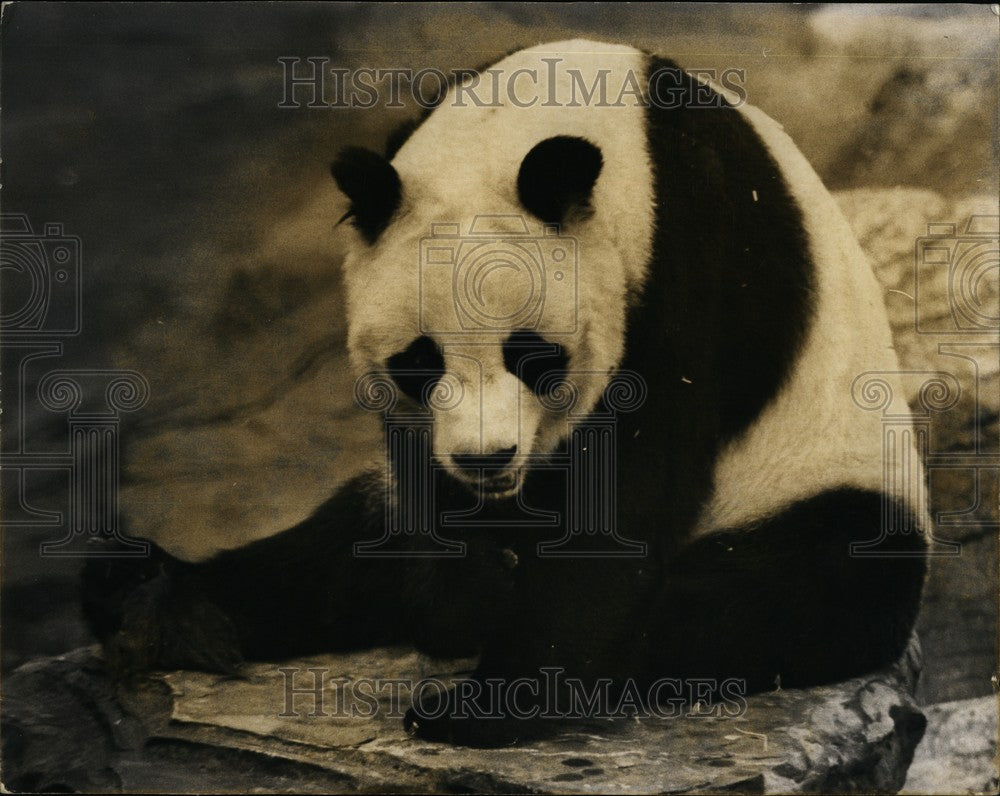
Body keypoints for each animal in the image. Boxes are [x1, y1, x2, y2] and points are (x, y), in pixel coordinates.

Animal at [83, 40, 929, 747]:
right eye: (419, 362)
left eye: (532, 357)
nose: (487, 460)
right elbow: (418, 497)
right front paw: (461, 604)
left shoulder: (691, 265)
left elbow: (627, 494)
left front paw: (489, 703)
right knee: (330, 553)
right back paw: (156, 600)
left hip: (821, 484)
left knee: (790, 585)